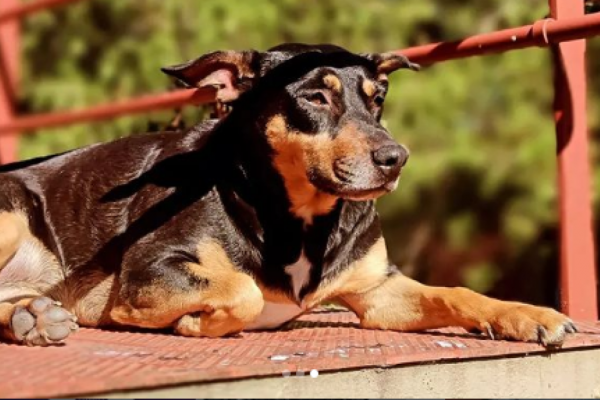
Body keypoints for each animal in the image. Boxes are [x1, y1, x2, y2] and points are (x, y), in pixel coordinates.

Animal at [0, 42, 576, 346]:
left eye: (379, 98)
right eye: (316, 97)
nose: (396, 158)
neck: (301, 216)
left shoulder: (378, 291)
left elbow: (458, 293)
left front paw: (530, 314)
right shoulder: (149, 267)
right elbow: (242, 290)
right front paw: (188, 321)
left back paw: (34, 317)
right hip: (12, 212)